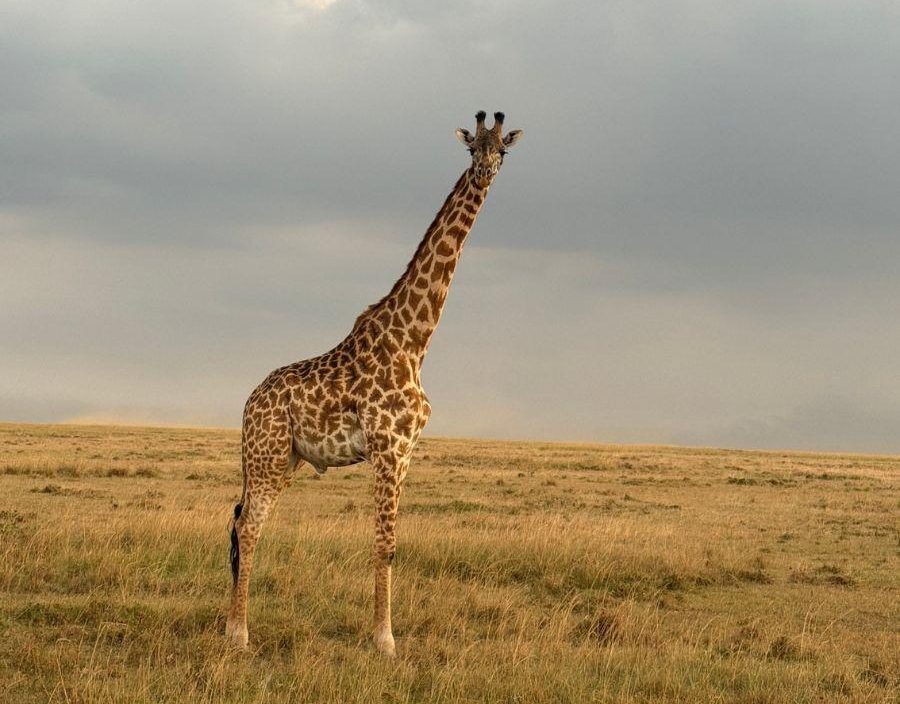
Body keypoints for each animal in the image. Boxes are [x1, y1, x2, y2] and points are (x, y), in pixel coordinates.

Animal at [225, 111, 523, 656]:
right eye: (472, 148)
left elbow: (392, 544)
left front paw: (385, 634)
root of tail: (247, 405)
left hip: (285, 459)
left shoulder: (405, 452)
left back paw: (233, 625)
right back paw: (239, 635)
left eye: (503, 150)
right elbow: (383, 544)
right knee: (250, 525)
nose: (485, 173)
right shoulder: (386, 447)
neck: (415, 340)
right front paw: (385, 640)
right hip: (268, 456)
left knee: (244, 522)